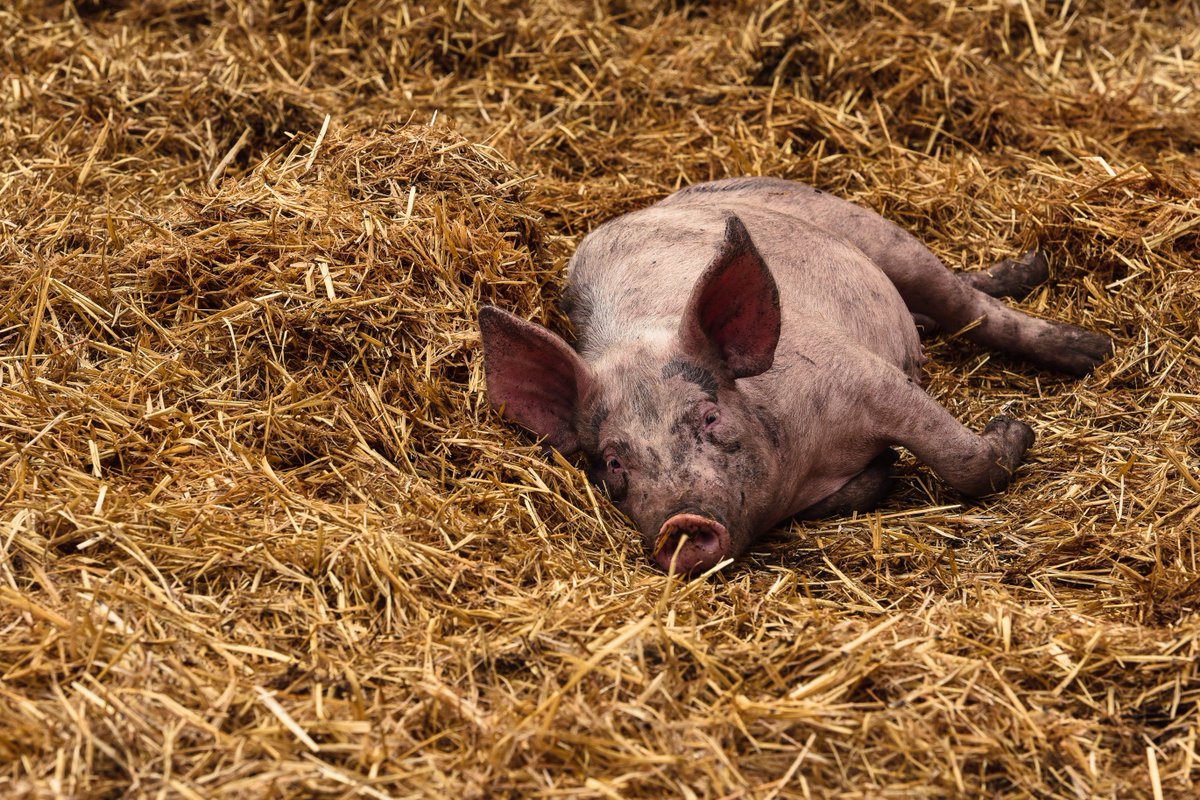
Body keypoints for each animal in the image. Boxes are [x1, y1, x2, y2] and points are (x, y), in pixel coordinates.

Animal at [479, 177, 1112, 574]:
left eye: (710, 415)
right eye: (612, 461)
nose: (682, 521)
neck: (803, 464)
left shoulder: (866, 377)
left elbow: (962, 460)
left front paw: (1018, 428)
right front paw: (887, 468)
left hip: (875, 232)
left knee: (968, 301)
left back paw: (1086, 339)